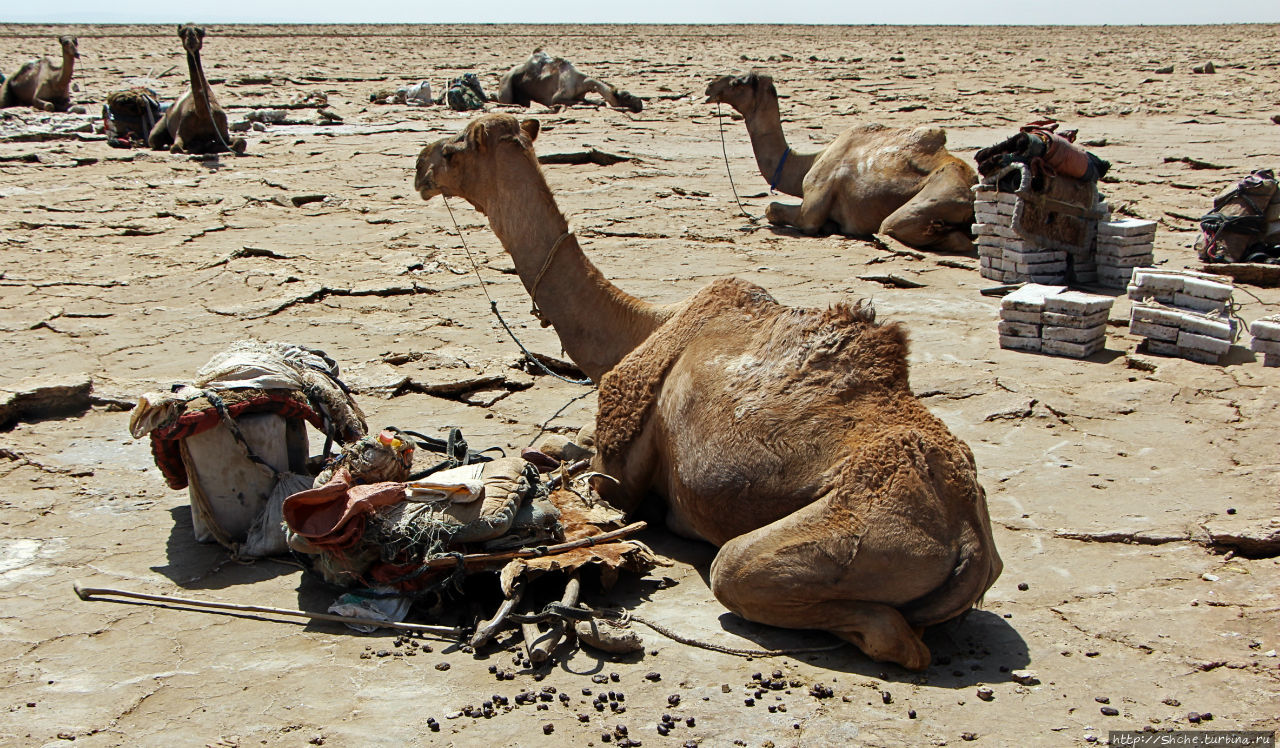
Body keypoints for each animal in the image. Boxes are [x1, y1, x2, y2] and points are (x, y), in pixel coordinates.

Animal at [148, 24, 245, 154]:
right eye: (182, 33)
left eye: (200, 33)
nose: (191, 38)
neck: (203, 114)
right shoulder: (181, 132)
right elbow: (176, 147)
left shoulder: (223, 133)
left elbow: (240, 143)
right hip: (159, 127)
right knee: (155, 140)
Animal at [414, 113, 1003, 671]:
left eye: (455, 149)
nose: (420, 167)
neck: (644, 325)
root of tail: (970, 541)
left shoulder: (620, 468)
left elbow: (578, 463)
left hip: (854, 533)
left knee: (824, 608)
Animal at [494, 50, 645, 113]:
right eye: (627, 96)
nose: (640, 103)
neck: (581, 82)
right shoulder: (556, 98)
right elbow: (575, 102)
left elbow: (594, 101)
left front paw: (597, 102)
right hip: (506, 87)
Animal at [706, 73, 972, 253]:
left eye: (737, 82)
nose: (710, 86)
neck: (808, 161)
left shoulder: (812, 205)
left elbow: (772, 209)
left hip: (936, 194)